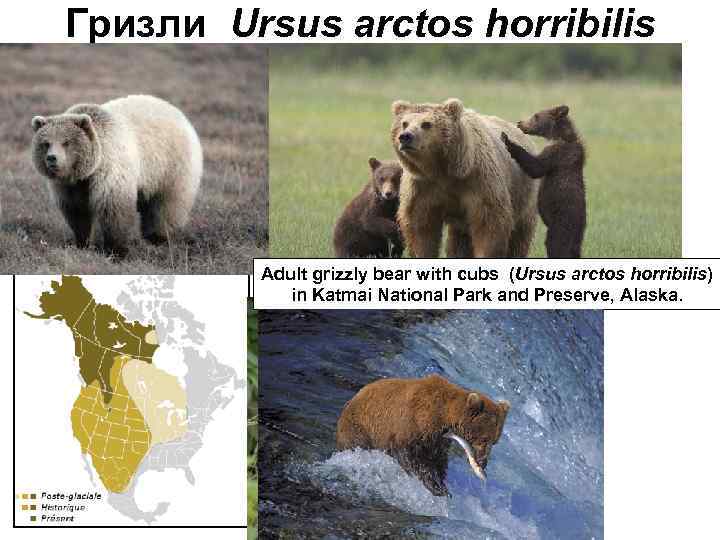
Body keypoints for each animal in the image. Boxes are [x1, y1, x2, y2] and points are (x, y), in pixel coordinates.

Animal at [31, 94, 203, 256]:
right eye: (46, 143)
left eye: (66, 142)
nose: (52, 158)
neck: (88, 171)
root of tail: (178, 113)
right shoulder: (71, 186)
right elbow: (77, 212)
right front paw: (82, 242)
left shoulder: (110, 169)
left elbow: (114, 209)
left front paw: (116, 250)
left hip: (170, 166)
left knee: (167, 205)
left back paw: (158, 238)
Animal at [336, 373, 510, 497]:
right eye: (484, 439)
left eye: (495, 441)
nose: (483, 462)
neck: (443, 417)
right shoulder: (412, 425)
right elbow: (410, 456)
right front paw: (437, 487)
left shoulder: (437, 441)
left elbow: (437, 460)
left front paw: (441, 482)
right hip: (359, 429)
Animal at [390, 98, 538, 258]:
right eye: (404, 123)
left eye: (426, 124)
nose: (405, 137)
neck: (442, 170)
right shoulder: (422, 186)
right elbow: (421, 228)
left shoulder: (479, 181)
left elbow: (488, 224)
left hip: (523, 196)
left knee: (519, 236)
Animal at [501, 104, 586, 258]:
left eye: (536, 116)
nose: (520, 123)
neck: (560, 136)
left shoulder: (557, 155)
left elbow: (536, 167)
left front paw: (507, 140)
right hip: (576, 236)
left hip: (561, 223)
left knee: (556, 246)